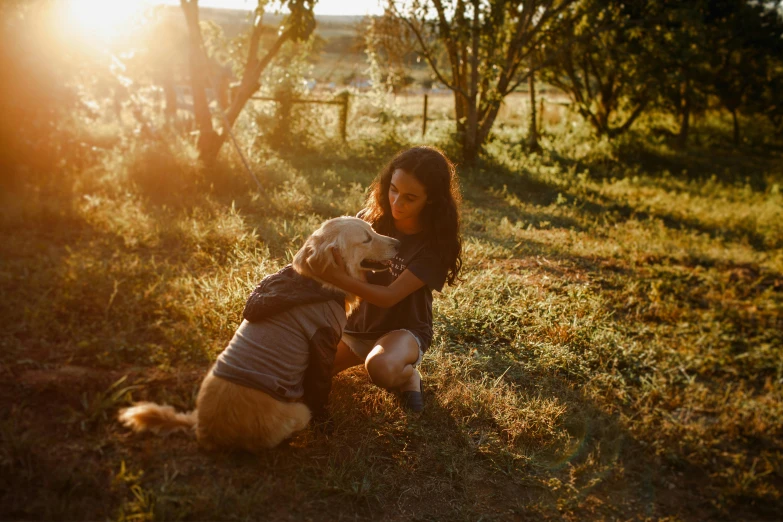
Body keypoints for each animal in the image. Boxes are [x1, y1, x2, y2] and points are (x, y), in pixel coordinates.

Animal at [119, 215, 402, 450]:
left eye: (373, 230)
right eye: (366, 238)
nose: (399, 243)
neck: (315, 282)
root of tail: (202, 427)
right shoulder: (322, 341)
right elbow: (320, 389)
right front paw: (327, 427)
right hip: (299, 411)